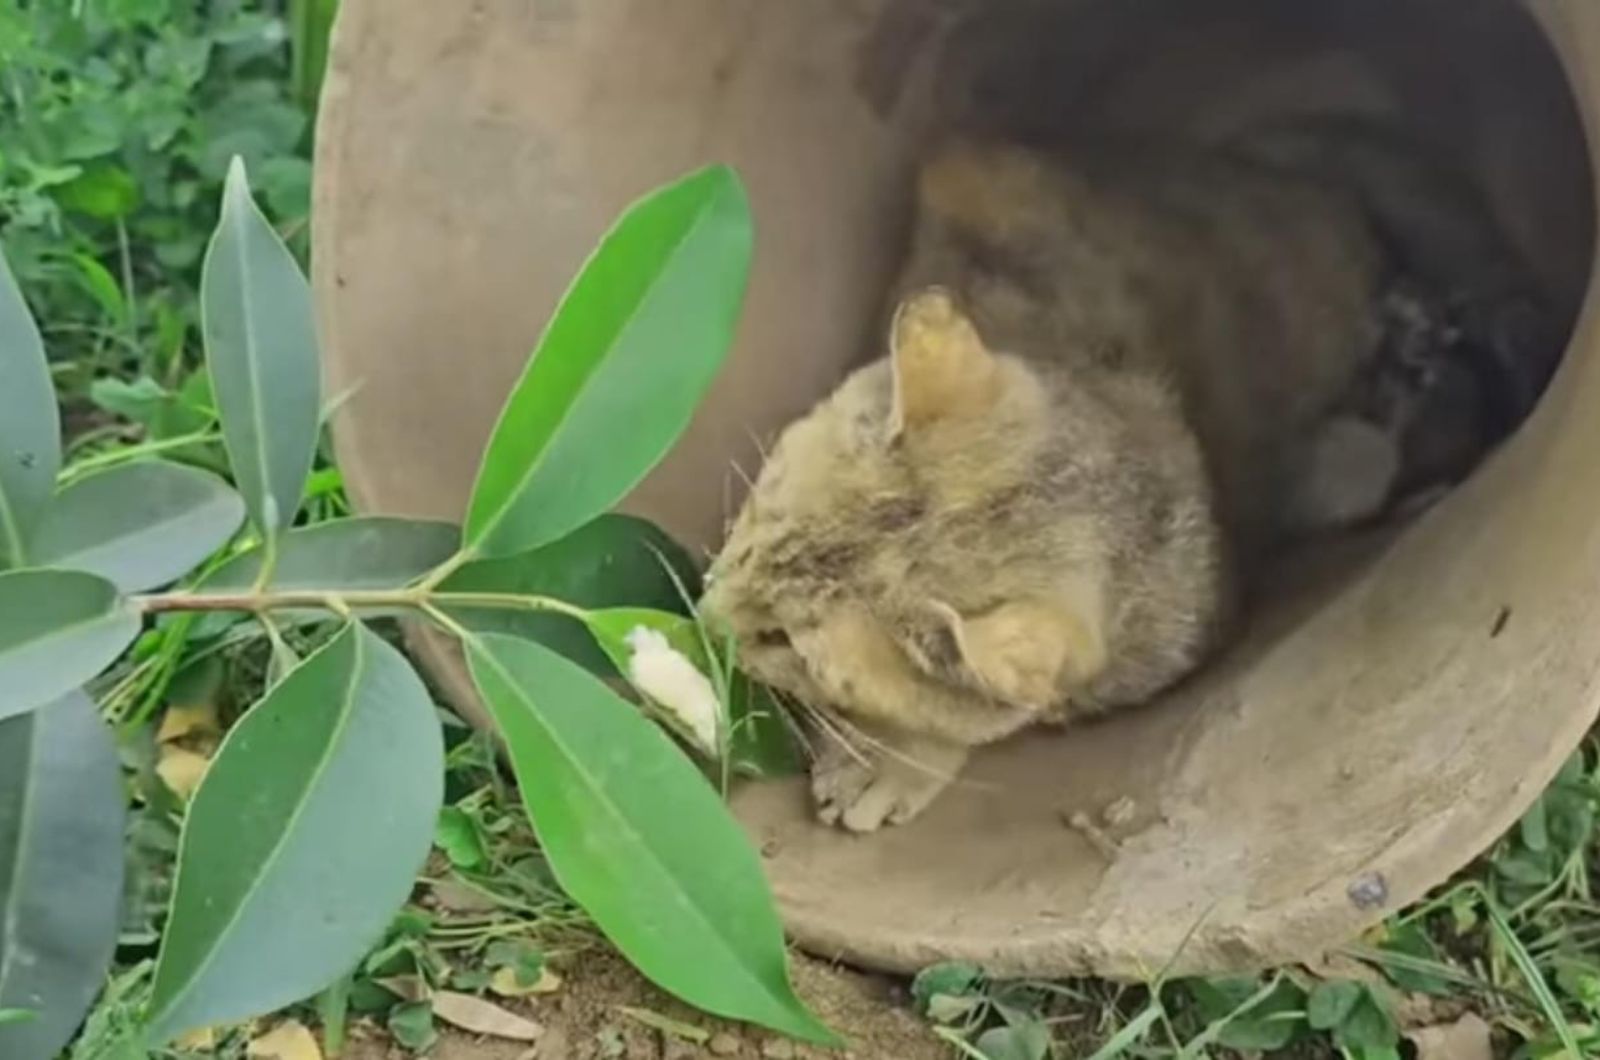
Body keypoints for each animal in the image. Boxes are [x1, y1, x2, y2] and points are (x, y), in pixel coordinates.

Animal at [700, 128, 1548, 832]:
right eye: (761, 512)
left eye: (785, 643)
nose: (705, 611)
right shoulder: (980, 176)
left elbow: (980, 714)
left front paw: (891, 761)